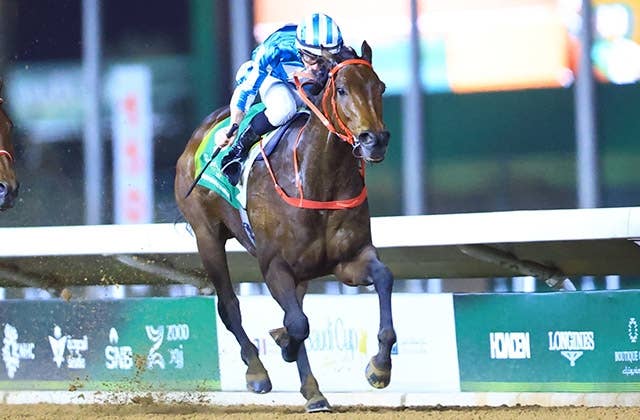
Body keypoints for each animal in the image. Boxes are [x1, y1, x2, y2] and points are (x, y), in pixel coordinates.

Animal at [174, 41, 395, 412]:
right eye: (341, 89)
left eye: (379, 87)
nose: (374, 139)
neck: (317, 179)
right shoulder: (274, 265)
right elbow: (298, 324)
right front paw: (290, 357)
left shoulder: (349, 260)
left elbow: (383, 278)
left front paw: (379, 368)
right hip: (207, 235)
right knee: (229, 306)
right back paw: (257, 372)